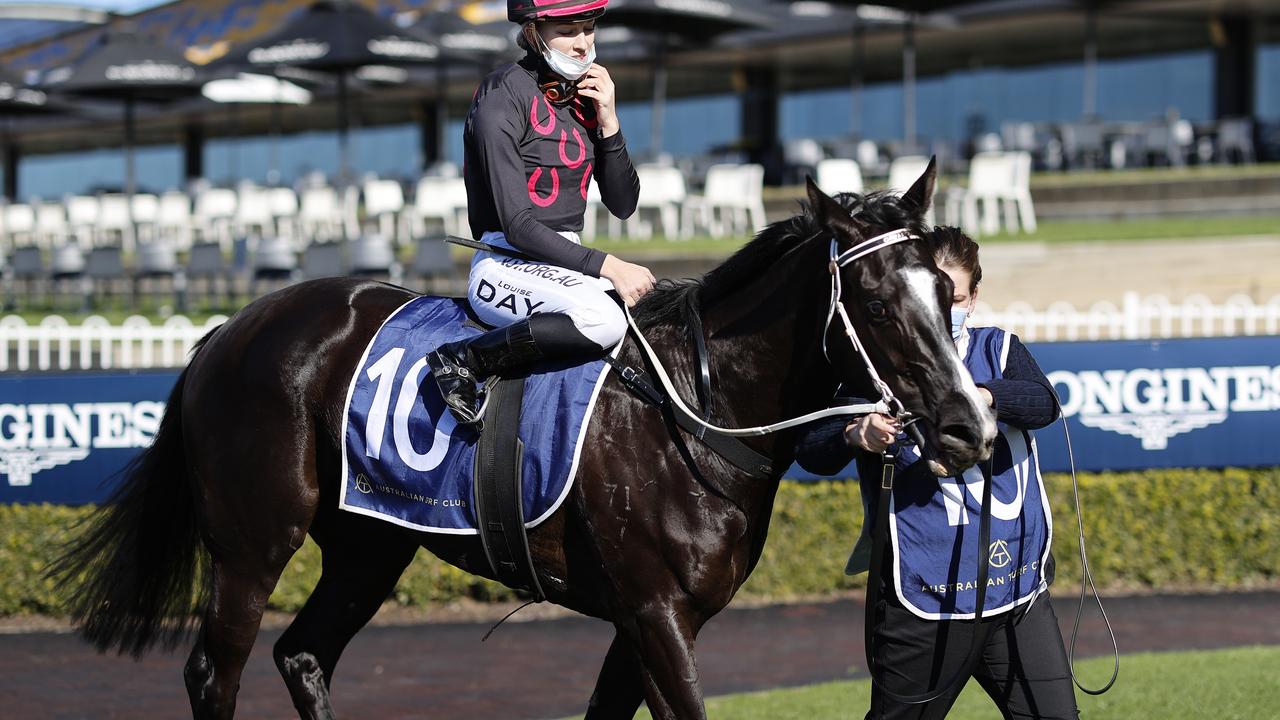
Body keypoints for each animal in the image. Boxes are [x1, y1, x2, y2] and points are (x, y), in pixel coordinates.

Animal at [52, 162, 998, 717]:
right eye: (874, 302)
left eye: (944, 293)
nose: (968, 426)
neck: (697, 406)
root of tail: (228, 330)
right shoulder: (656, 615)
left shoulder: (644, 620)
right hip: (253, 545)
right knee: (217, 673)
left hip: (369, 544)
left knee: (304, 654)